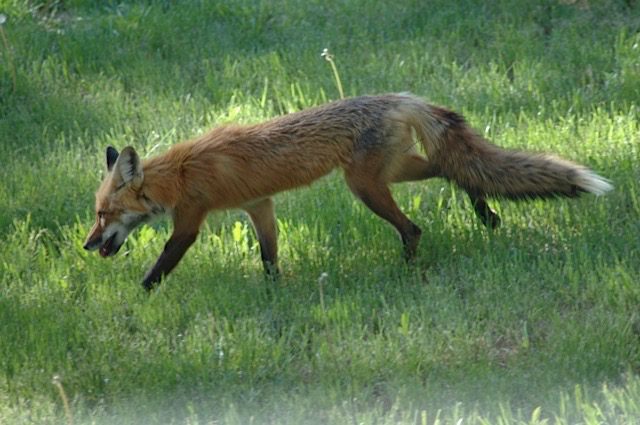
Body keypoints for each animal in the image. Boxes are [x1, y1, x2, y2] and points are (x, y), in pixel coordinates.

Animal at [82, 93, 612, 288]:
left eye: (105, 215)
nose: (87, 245)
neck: (180, 173)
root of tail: (401, 96)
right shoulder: (260, 205)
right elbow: (269, 257)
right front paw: (274, 294)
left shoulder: (190, 220)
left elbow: (160, 266)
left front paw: (139, 298)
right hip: (392, 173)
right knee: (454, 169)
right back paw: (486, 215)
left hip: (366, 187)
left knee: (414, 226)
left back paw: (406, 271)